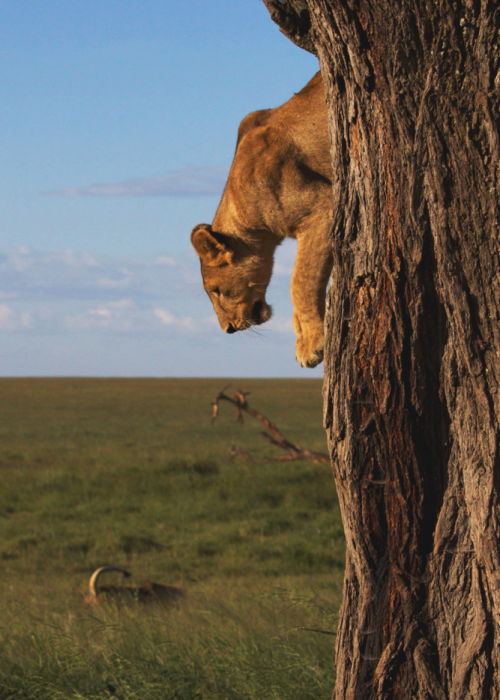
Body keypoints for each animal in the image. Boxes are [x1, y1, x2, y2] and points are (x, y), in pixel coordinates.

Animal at [191, 72, 332, 368]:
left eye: (216, 290)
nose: (228, 329)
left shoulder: (322, 205)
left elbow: (300, 281)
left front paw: (312, 345)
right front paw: (301, 339)